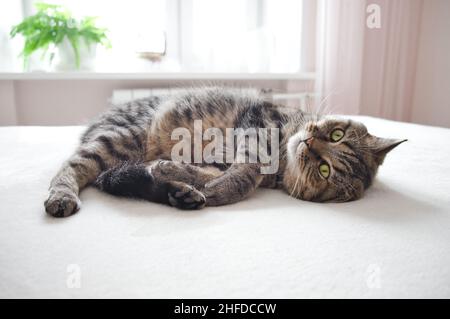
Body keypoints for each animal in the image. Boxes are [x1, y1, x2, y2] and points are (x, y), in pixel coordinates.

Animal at [44, 87, 406, 218]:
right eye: (336, 134)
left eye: (325, 171)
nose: (309, 143)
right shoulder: (257, 124)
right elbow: (246, 173)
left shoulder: (223, 157)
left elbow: (226, 174)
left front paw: (192, 179)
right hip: (122, 137)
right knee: (71, 167)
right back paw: (61, 196)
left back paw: (181, 193)